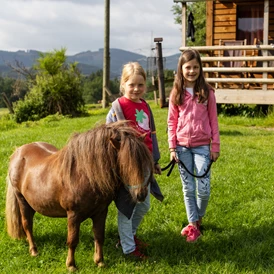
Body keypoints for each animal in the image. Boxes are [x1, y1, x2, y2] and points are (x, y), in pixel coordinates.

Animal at [5, 122, 154, 272]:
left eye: (146, 161)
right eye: (125, 164)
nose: (141, 195)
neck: (85, 174)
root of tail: (18, 152)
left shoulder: (101, 212)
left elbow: (99, 236)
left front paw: (100, 262)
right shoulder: (73, 215)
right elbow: (72, 241)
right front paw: (71, 265)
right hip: (22, 200)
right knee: (27, 224)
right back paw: (34, 250)